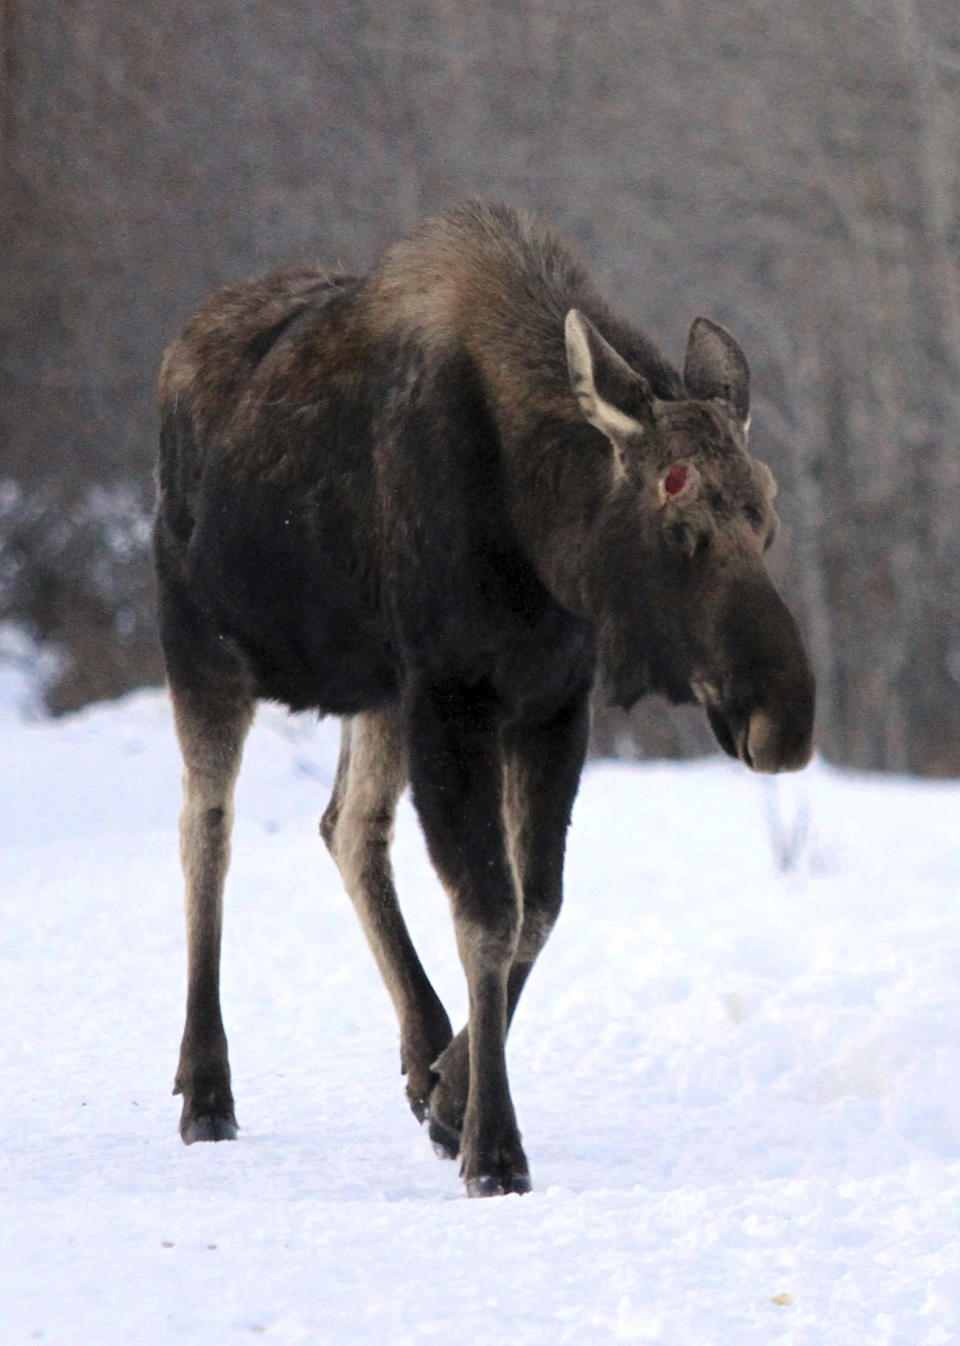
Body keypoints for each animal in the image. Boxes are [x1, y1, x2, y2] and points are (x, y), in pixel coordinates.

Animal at [153, 195, 813, 1195]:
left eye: (767, 516)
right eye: (679, 523)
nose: (785, 719)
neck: (538, 534)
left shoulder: (547, 702)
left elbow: (536, 908)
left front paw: (450, 1094)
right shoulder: (455, 696)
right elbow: (489, 914)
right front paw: (494, 1147)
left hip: (376, 694)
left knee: (348, 827)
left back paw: (420, 1048)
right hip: (205, 646)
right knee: (208, 830)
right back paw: (206, 1088)